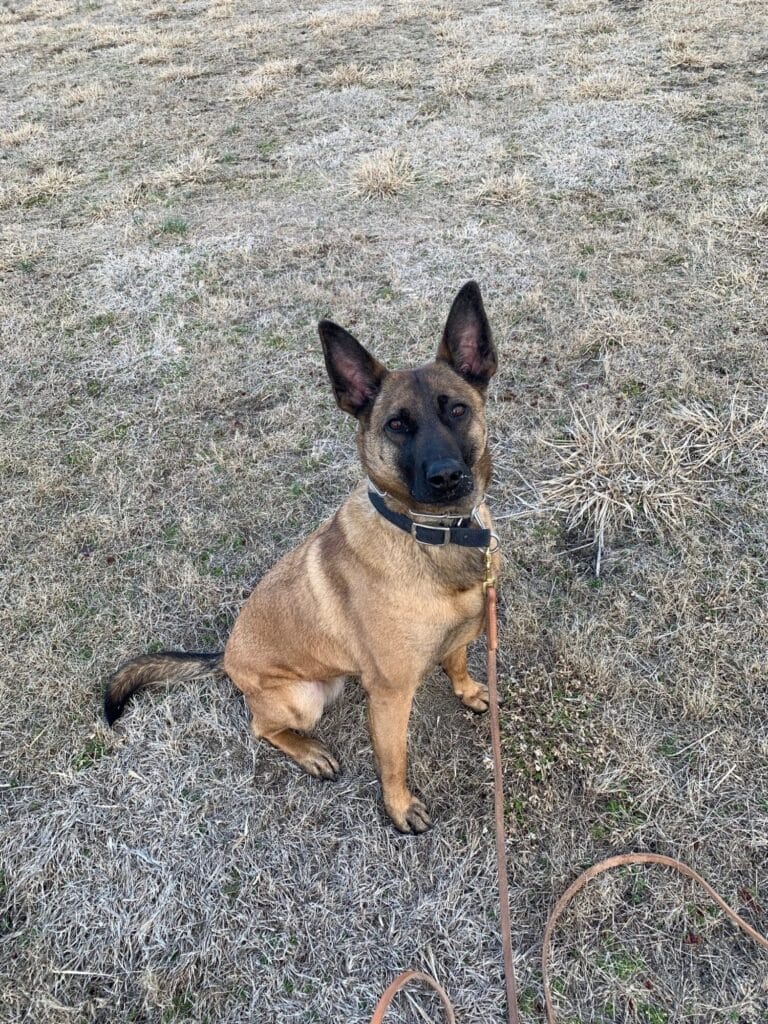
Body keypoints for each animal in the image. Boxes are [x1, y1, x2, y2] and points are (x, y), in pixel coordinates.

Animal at [105, 281, 500, 833]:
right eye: (398, 425)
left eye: (458, 410)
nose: (446, 478)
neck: (434, 535)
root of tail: (227, 656)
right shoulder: (391, 695)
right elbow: (393, 758)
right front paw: (399, 806)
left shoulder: (463, 631)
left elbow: (457, 659)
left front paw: (466, 690)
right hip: (305, 698)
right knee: (260, 726)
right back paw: (309, 752)